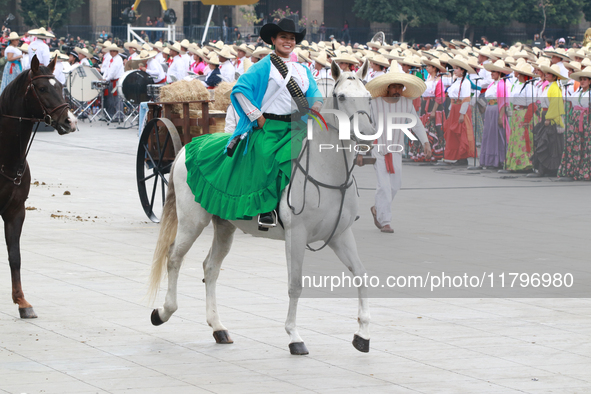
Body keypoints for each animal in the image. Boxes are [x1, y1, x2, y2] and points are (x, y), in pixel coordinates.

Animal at [0, 54, 77, 318]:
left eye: (61, 86)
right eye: (42, 88)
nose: (70, 121)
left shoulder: (15, 210)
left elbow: (15, 256)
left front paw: (22, 302)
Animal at [148, 60, 374, 356]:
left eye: (368, 97)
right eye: (343, 97)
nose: (367, 137)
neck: (327, 169)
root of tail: (188, 147)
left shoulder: (340, 234)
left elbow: (361, 274)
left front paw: (363, 334)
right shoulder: (296, 235)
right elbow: (295, 284)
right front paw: (294, 336)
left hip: (224, 226)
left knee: (210, 267)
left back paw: (218, 327)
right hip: (192, 222)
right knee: (174, 257)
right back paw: (163, 312)